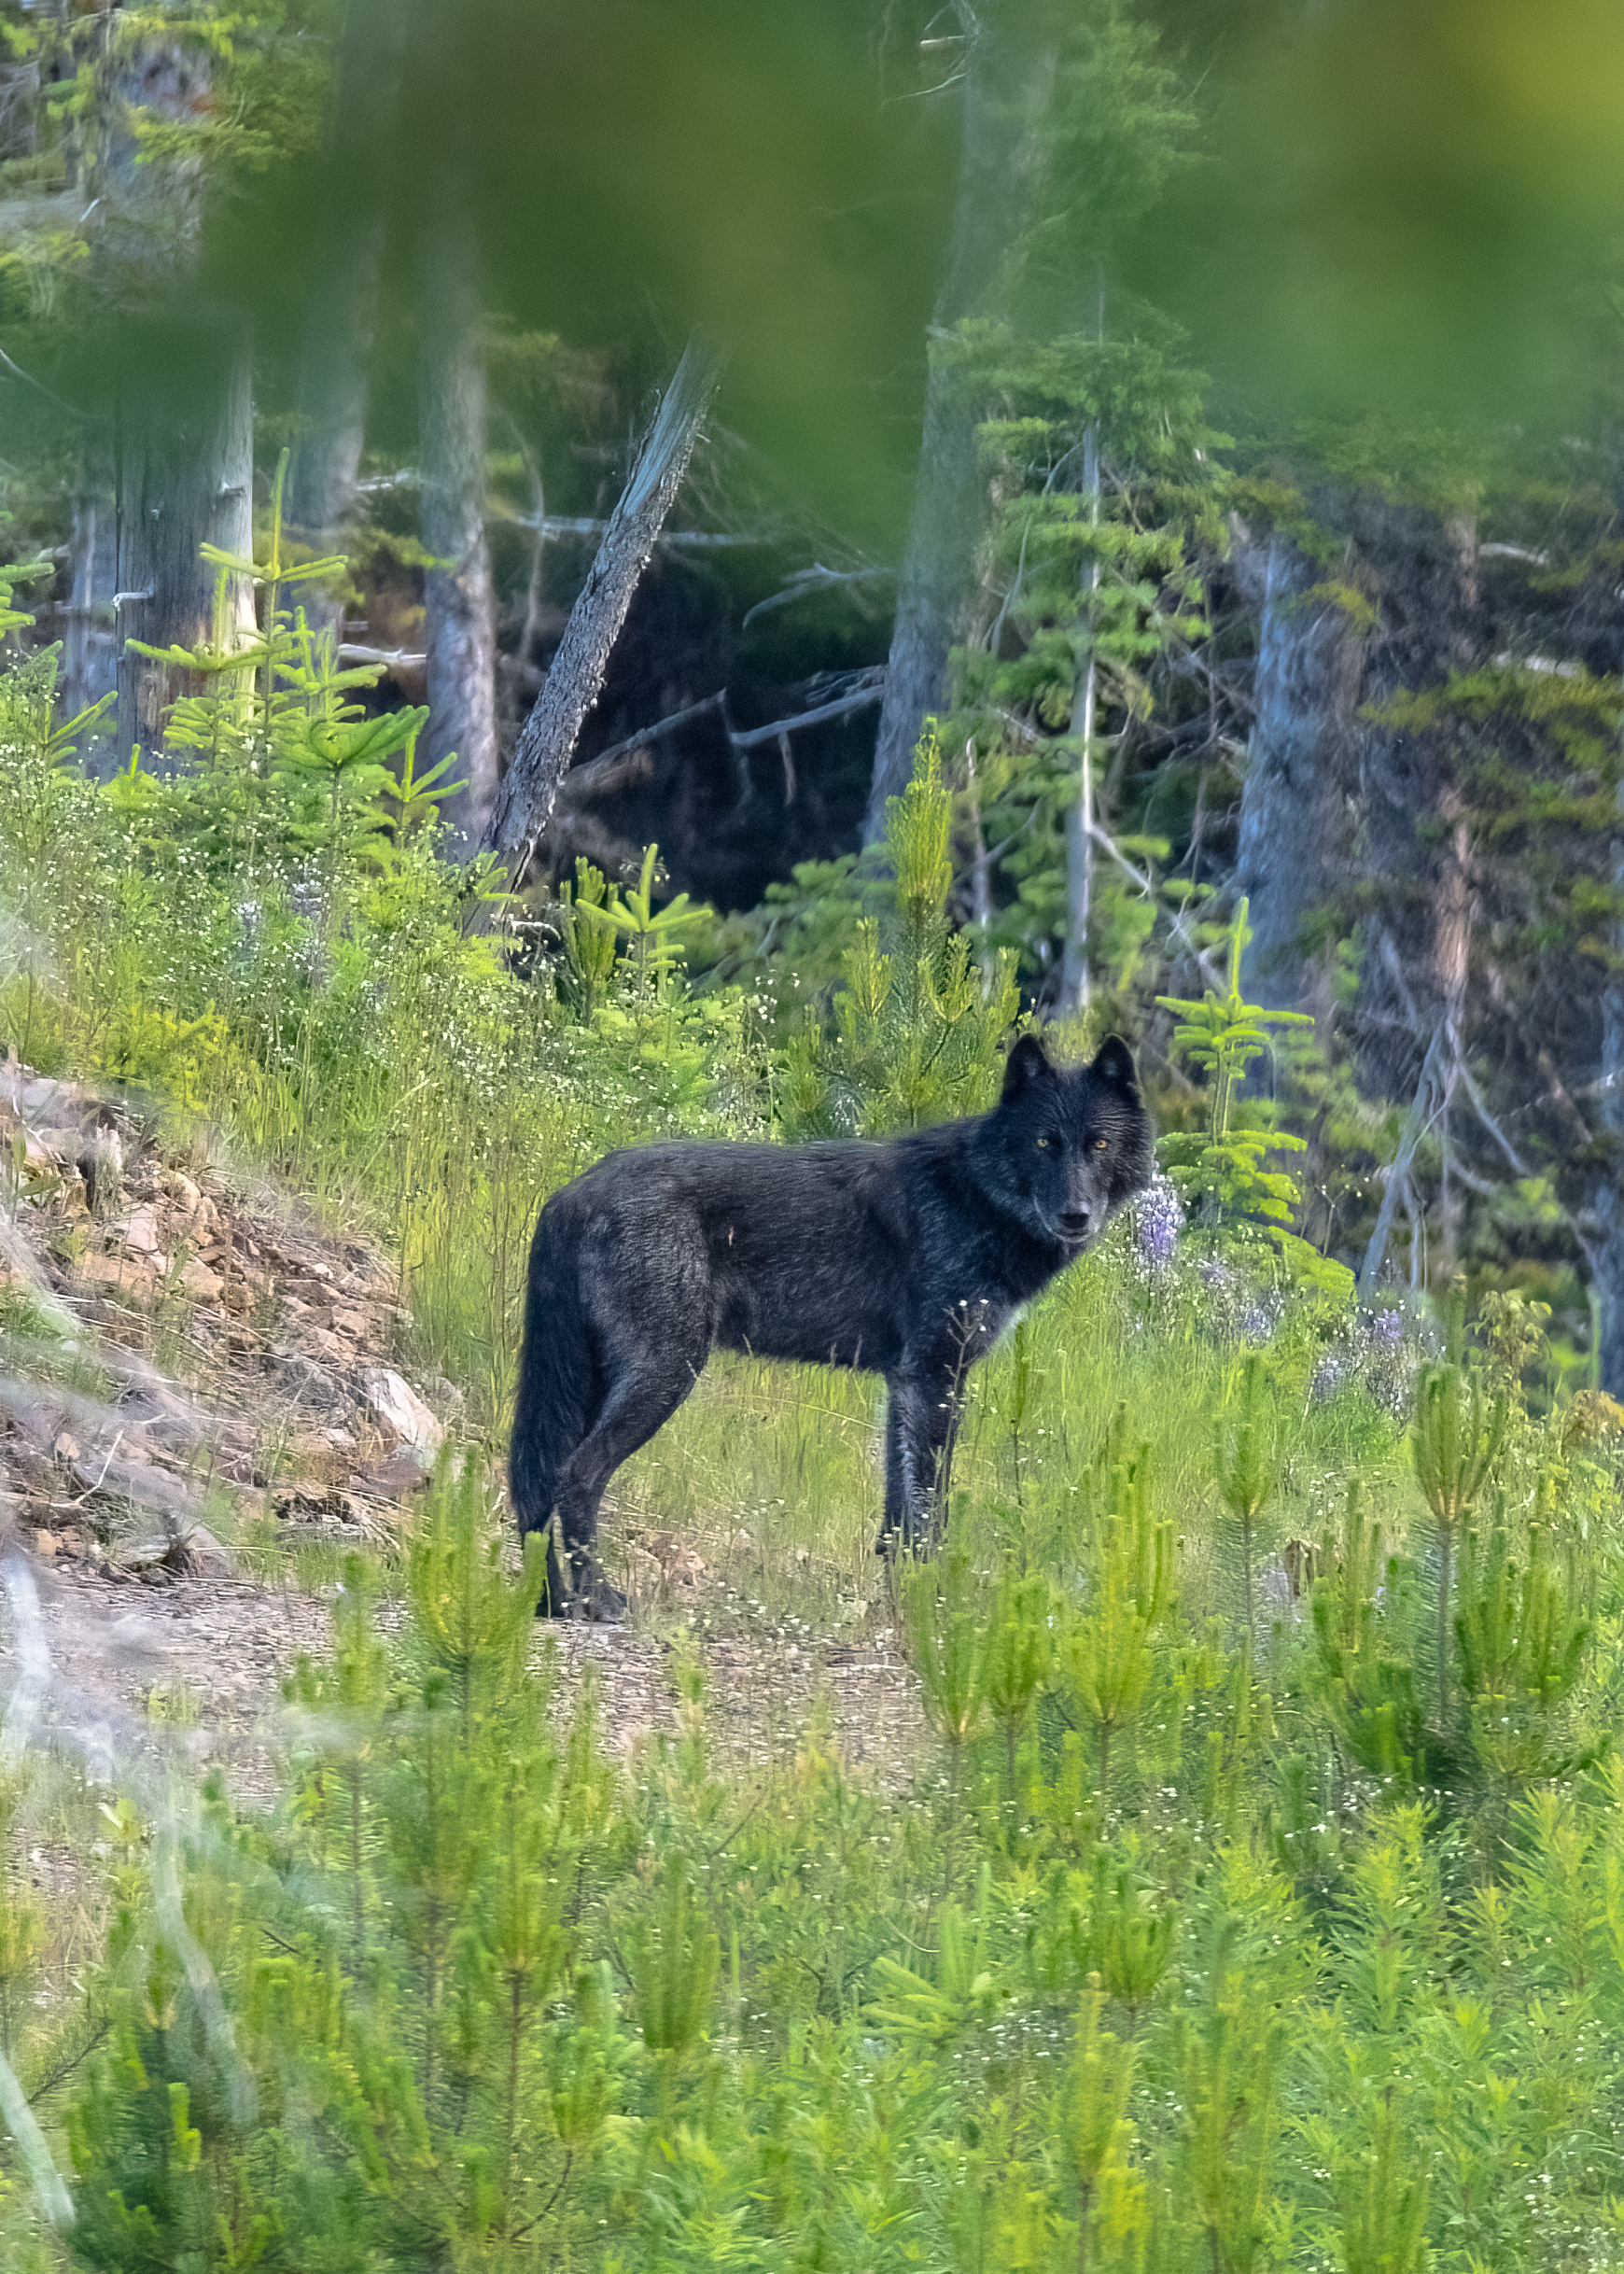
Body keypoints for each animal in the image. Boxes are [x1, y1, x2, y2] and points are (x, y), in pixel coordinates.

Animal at [509, 1032, 1155, 1616]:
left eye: (1098, 1143)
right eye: (1045, 1142)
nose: (1075, 1215)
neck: (974, 1194)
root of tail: (569, 1195)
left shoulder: (905, 1384)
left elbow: (897, 1521)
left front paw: (898, 1607)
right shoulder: (936, 1377)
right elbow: (930, 1510)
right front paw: (935, 1608)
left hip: (590, 1382)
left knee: (533, 1482)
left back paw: (549, 1604)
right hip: (666, 1373)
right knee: (576, 1476)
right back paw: (597, 1600)